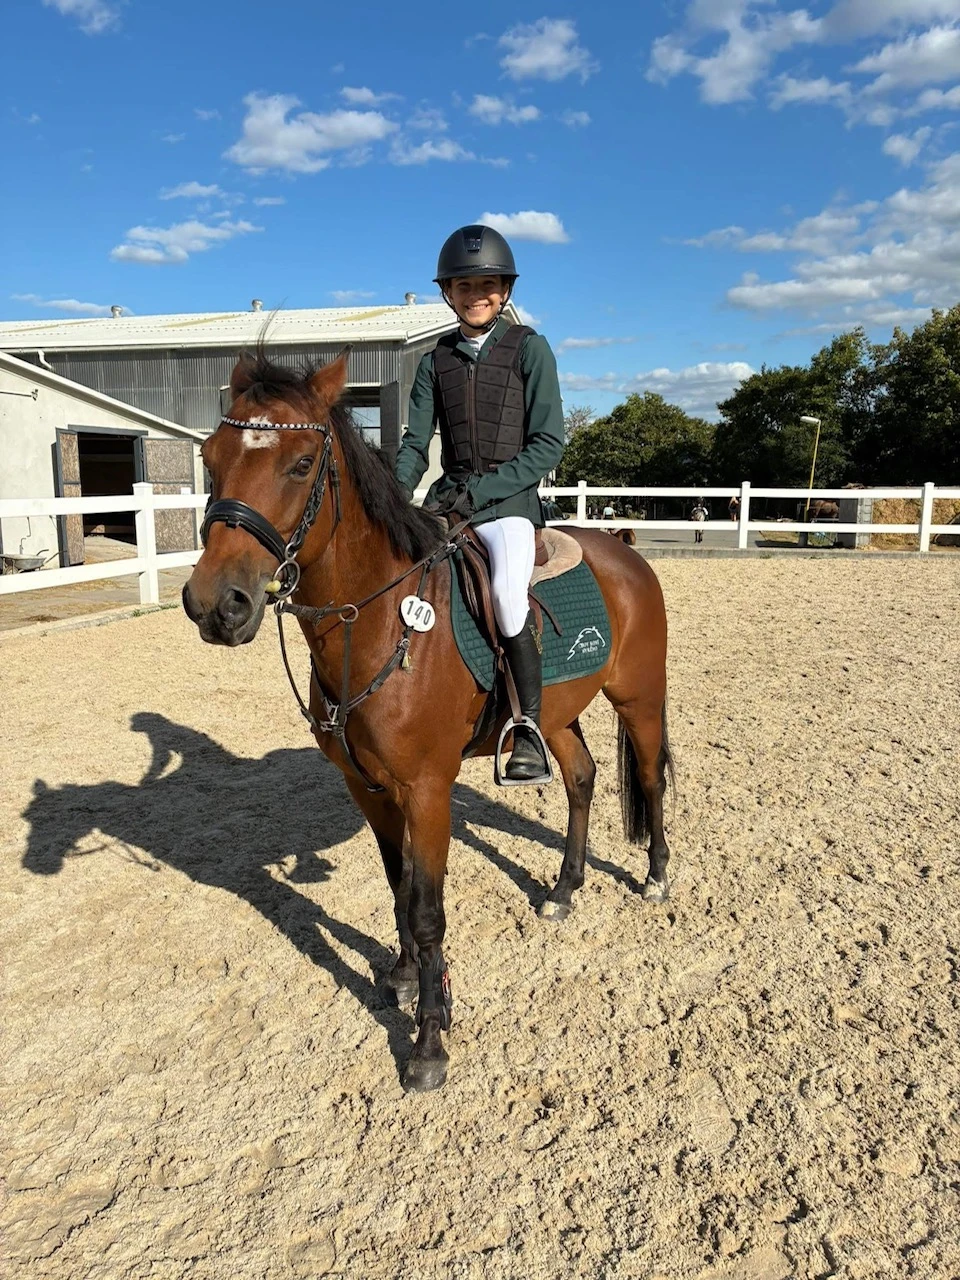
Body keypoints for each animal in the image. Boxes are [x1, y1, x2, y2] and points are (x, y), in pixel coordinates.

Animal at [182, 349, 673, 1093]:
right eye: (211, 457)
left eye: (301, 464)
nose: (216, 605)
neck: (380, 623)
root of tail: (623, 547)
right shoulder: (368, 788)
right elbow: (398, 887)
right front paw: (407, 979)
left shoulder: (427, 791)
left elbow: (427, 909)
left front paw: (430, 1041)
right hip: (556, 716)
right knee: (582, 779)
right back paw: (564, 889)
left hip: (640, 700)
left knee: (649, 778)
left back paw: (656, 876)